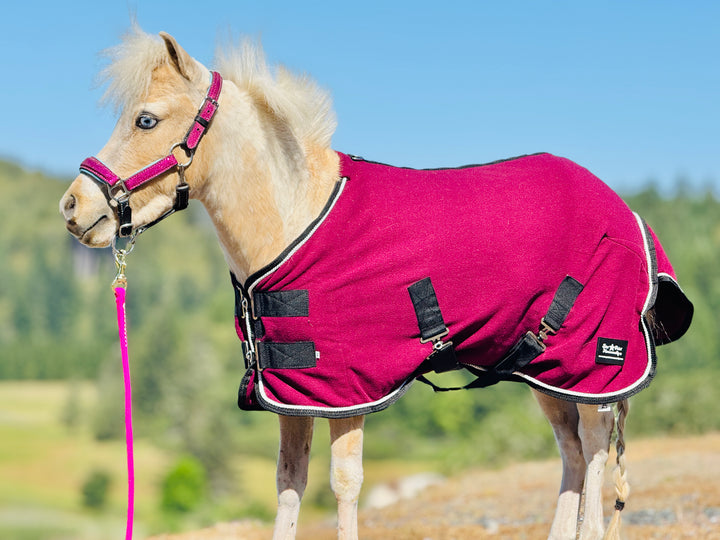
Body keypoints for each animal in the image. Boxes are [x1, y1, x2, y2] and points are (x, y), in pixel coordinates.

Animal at [59, 27, 692, 540]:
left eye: (146, 119)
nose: (73, 206)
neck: (295, 216)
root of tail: (626, 212)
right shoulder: (295, 394)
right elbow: (289, 484)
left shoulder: (349, 391)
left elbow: (343, 484)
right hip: (548, 372)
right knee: (571, 455)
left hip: (593, 367)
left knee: (594, 452)